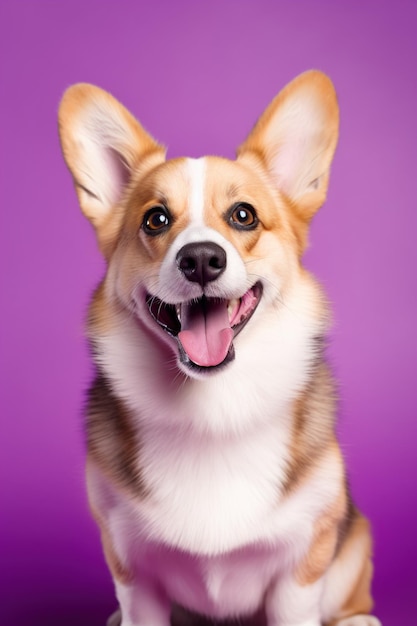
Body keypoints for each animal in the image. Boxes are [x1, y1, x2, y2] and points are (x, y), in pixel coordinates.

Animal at [58, 69, 380, 624]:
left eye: (244, 215)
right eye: (156, 219)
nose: (202, 259)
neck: (213, 409)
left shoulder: (302, 566)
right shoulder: (132, 569)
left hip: (352, 542)